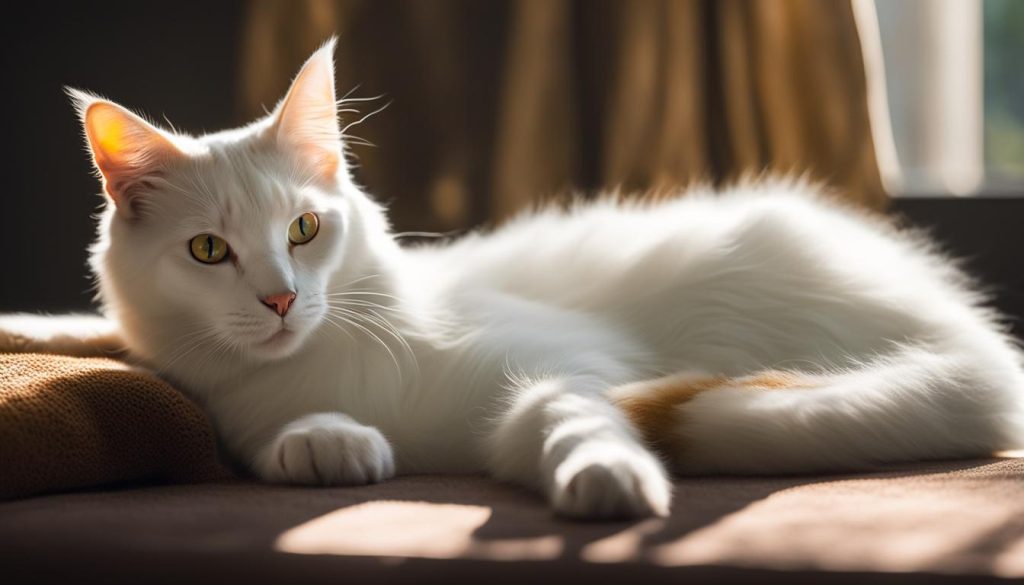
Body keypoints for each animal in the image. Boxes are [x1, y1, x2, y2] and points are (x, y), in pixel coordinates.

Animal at [2, 38, 1024, 520]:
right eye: (209, 252)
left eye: (303, 229)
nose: (282, 299)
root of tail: (970, 340)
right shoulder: (226, 401)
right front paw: (326, 441)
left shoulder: (572, 364)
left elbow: (557, 409)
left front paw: (607, 473)